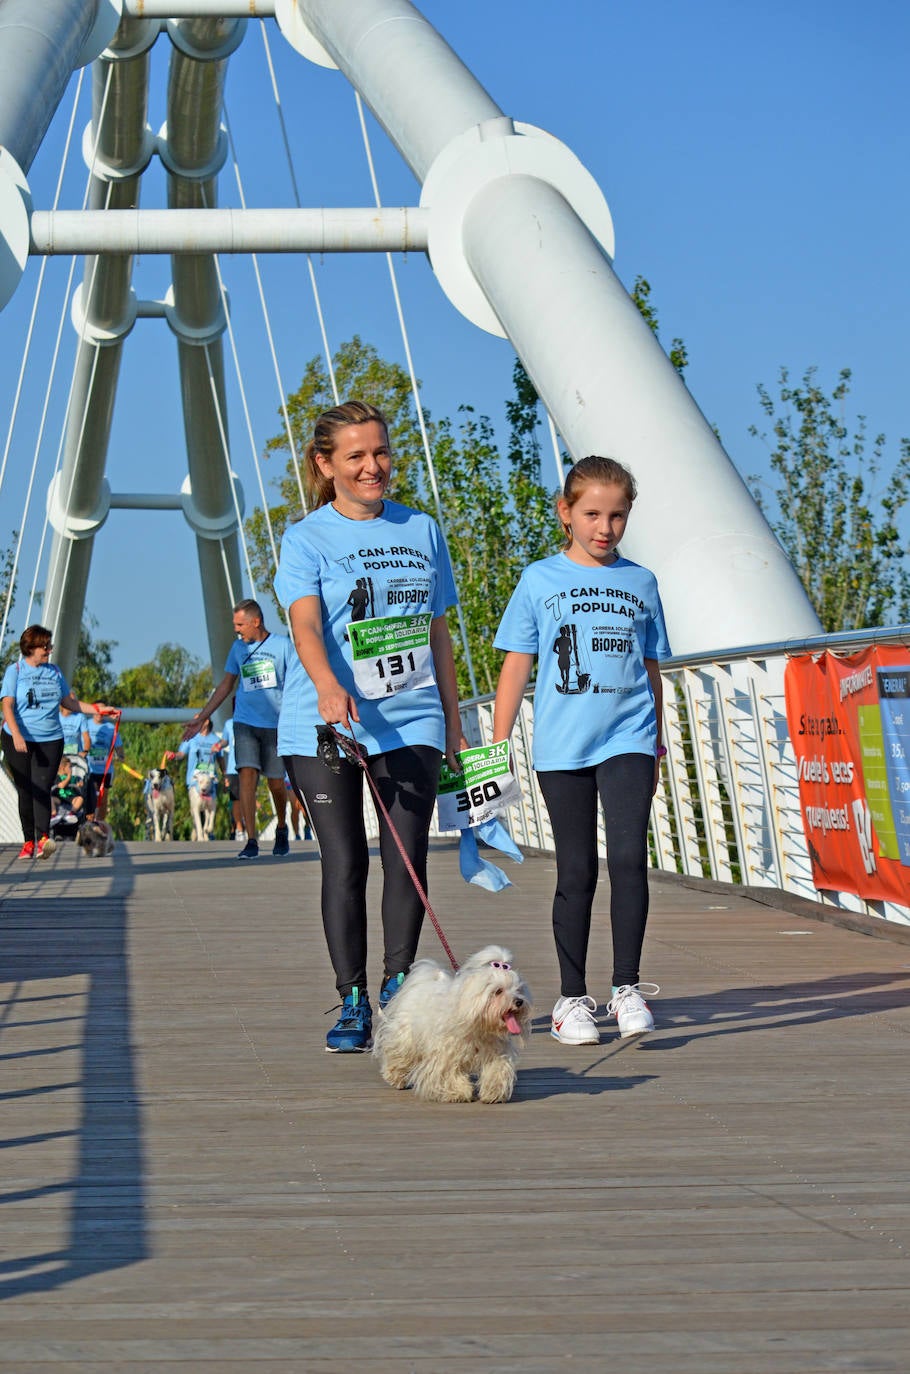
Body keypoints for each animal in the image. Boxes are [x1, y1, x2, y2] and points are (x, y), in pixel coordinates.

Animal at [371, 945, 530, 1104]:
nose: (519, 1001)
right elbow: (448, 1074)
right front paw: (459, 1092)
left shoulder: (495, 1052)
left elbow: (497, 1070)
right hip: (406, 1038)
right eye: (498, 991)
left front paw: (493, 1093)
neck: (479, 1026)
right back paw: (395, 1077)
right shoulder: (445, 1054)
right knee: (398, 1055)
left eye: (518, 990)